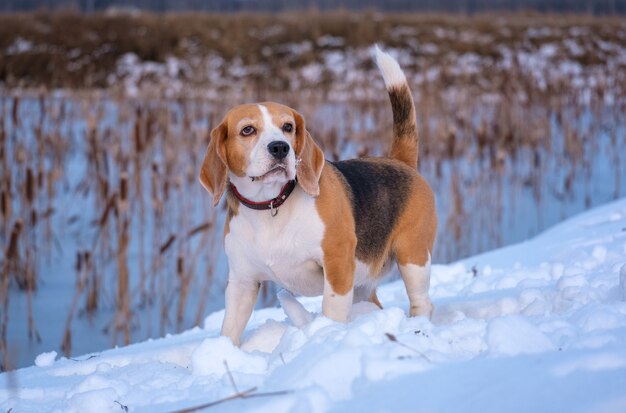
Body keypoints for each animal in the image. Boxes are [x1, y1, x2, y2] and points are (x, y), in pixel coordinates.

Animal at [199, 45, 434, 344]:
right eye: (247, 130)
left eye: (288, 127)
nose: (280, 147)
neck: (272, 204)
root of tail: (399, 161)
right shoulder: (242, 281)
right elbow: (229, 330)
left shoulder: (337, 262)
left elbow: (332, 308)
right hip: (365, 281)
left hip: (412, 256)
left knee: (422, 300)